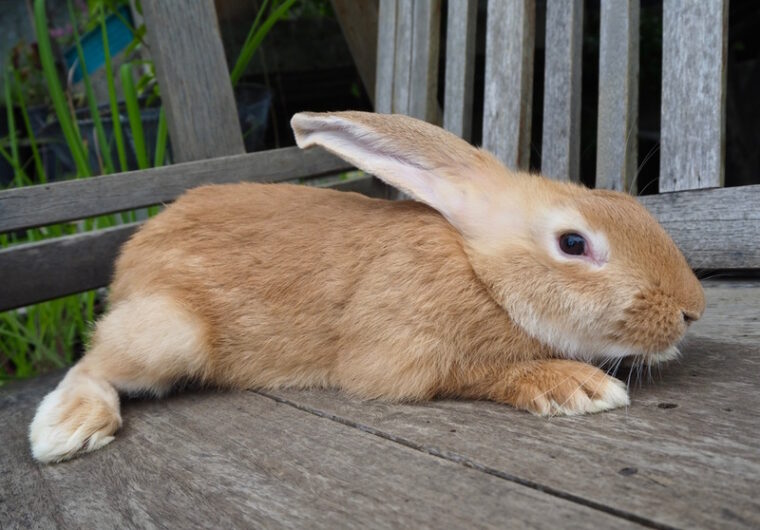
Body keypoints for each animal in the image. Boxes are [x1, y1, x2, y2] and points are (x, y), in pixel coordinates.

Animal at [29, 111, 704, 463]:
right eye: (573, 244)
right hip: (169, 332)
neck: (481, 274)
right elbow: (481, 371)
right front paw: (576, 385)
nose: (692, 310)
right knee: (93, 363)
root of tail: (127, 267)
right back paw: (66, 430)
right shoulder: (405, 355)